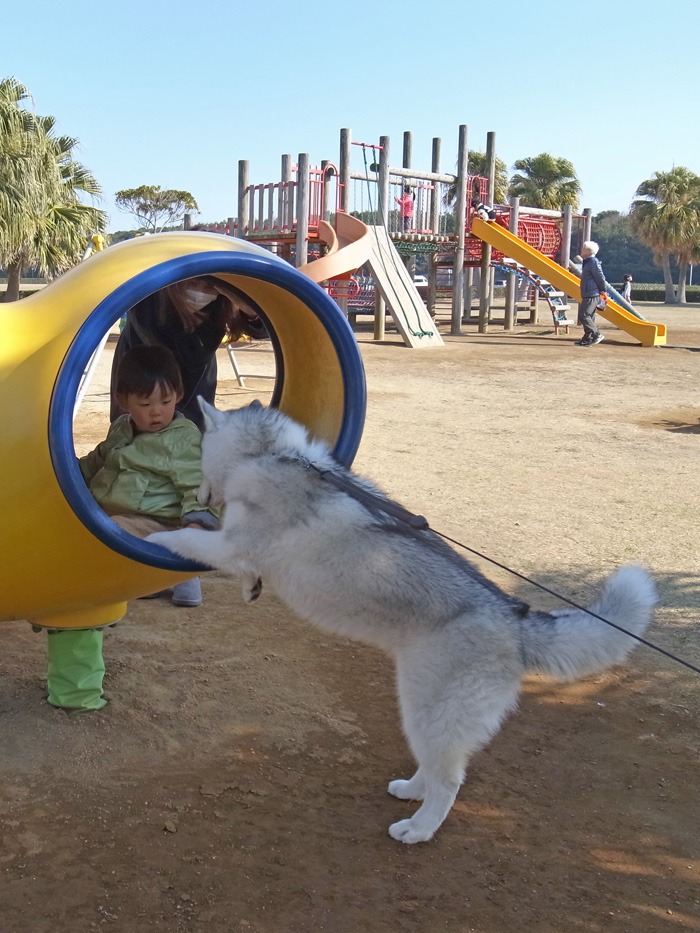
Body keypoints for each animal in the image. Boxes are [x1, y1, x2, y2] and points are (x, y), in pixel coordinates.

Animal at [148, 400, 656, 844]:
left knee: (450, 780)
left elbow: (186, 540)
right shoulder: (243, 549)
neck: (270, 455)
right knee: (436, 770)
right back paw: (412, 790)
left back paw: (419, 828)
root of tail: (515, 619)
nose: (199, 495)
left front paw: (155, 540)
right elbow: (245, 573)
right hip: (423, 711)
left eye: (199, 449)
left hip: (426, 710)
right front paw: (249, 589)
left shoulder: (232, 543)